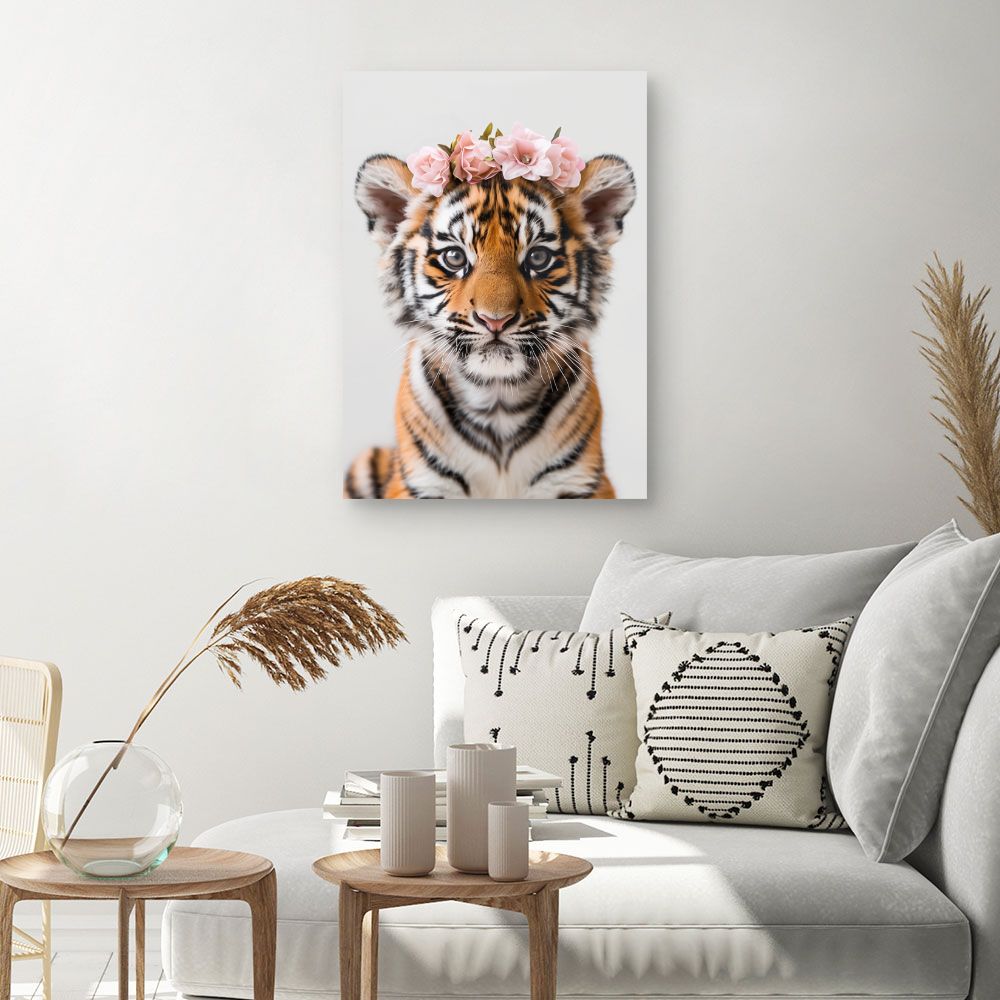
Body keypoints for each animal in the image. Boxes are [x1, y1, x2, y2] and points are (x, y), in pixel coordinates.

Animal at [344, 151, 636, 499]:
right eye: (454, 257)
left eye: (538, 258)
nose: (495, 319)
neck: (498, 402)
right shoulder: (421, 485)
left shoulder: (579, 483)